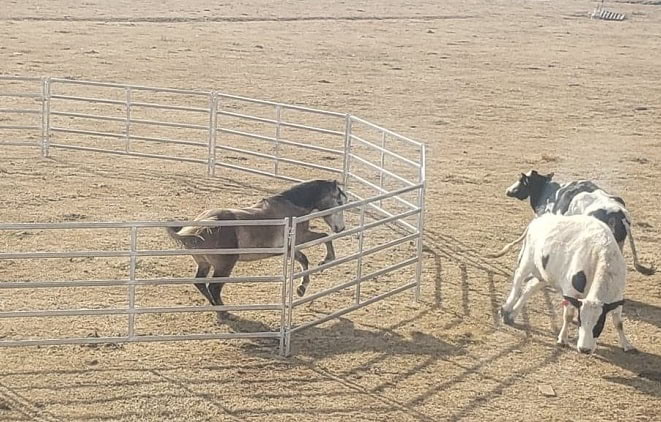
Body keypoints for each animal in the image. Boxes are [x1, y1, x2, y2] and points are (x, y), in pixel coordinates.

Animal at [500, 213, 636, 354]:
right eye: (580, 321)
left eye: (599, 323)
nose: (584, 349)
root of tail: (540, 218)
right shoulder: (570, 292)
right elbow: (568, 316)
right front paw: (562, 339)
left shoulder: (617, 297)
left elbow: (618, 322)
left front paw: (627, 344)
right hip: (527, 261)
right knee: (517, 282)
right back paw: (506, 309)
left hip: (545, 275)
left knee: (529, 288)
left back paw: (513, 314)